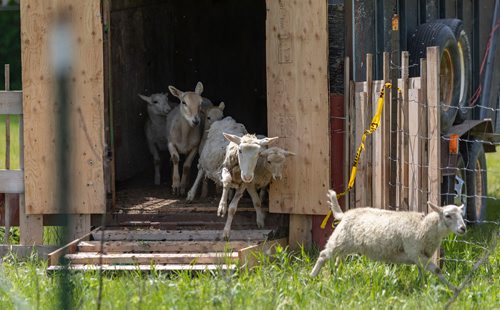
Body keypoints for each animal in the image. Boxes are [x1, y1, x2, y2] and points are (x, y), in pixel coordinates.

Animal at [310, 189, 466, 294]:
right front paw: (454, 289)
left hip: (344, 244)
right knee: (323, 255)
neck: (424, 226)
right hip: (338, 240)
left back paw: (337, 278)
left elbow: (423, 271)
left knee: (338, 261)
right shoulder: (415, 252)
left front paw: (422, 286)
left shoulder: (420, 255)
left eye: (461, 214)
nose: (463, 228)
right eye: (447, 215)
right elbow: (438, 270)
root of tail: (344, 214)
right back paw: (312, 277)